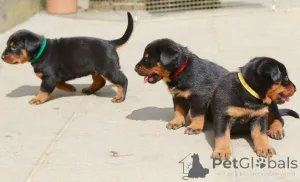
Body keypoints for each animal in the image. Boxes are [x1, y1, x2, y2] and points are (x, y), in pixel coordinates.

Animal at [1, 12, 134, 104]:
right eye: (7, 45)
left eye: (14, 47)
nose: (2, 57)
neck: (40, 52)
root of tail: (110, 43)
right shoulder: (54, 77)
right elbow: (59, 83)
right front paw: (70, 87)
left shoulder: (49, 77)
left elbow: (44, 89)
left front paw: (38, 99)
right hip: (96, 70)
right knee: (100, 81)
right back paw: (89, 90)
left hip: (108, 69)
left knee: (123, 80)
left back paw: (120, 97)